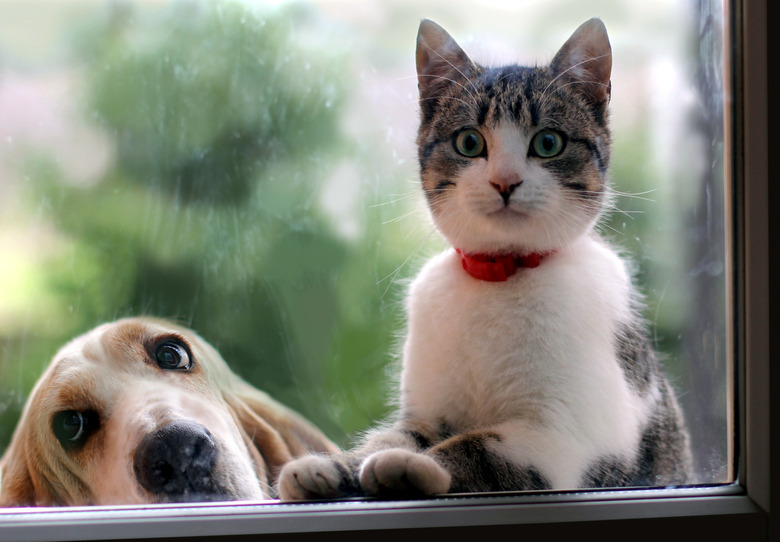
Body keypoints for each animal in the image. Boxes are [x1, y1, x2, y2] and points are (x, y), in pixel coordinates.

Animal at [278, 17, 692, 502]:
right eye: (469, 142)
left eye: (547, 142)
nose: (504, 181)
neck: (498, 274)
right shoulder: (426, 412)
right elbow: (393, 435)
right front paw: (335, 464)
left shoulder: (569, 435)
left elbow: (479, 447)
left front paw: (414, 465)